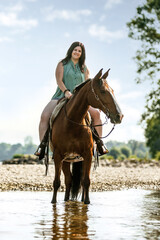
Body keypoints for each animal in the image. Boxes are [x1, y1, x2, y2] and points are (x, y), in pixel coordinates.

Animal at [50, 68, 123, 204]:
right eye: (103, 91)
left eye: (112, 91)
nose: (119, 116)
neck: (72, 122)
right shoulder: (58, 155)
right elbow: (57, 182)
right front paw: (53, 202)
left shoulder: (88, 155)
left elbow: (86, 182)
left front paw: (86, 202)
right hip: (66, 160)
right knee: (68, 180)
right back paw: (66, 200)